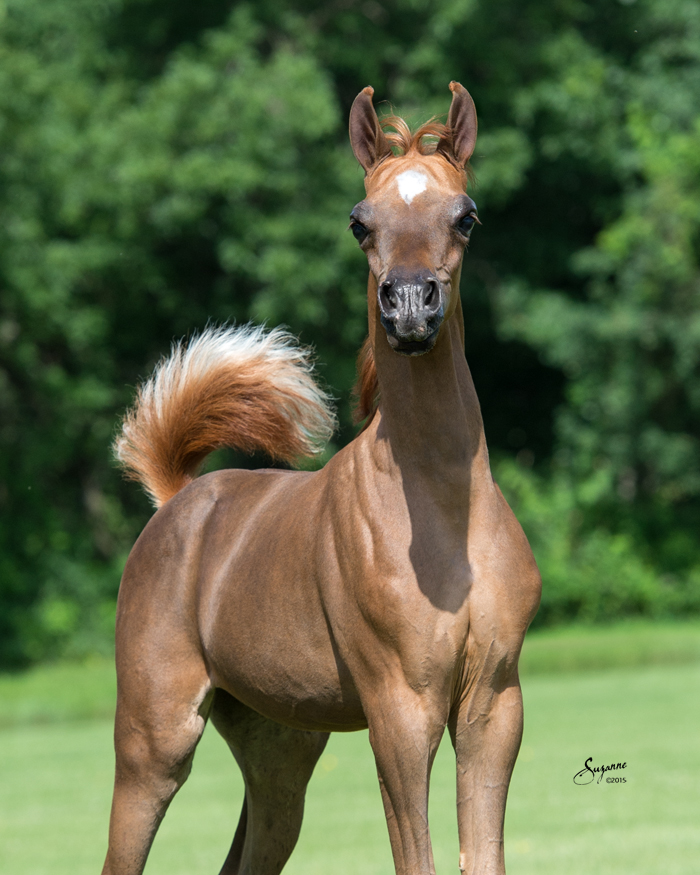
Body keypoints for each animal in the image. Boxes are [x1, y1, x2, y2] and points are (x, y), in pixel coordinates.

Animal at [102, 81, 541, 875]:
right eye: (360, 222)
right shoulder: (400, 711)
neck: (441, 510)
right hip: (155, 741)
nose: (410, 306)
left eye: (465, 215)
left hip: (281, 746)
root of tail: (178, 500)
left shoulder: (493, 706)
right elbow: (417, 855)